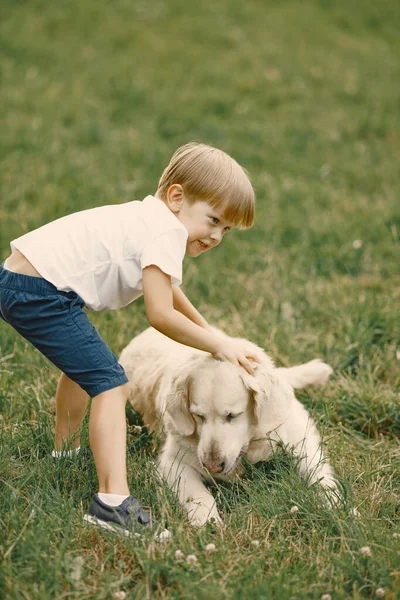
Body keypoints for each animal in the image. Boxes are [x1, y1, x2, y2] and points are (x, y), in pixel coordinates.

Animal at [119, 326, 338, 528]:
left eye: (232, 415)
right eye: (198, 416)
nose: (213, 466)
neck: (250, 442)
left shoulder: (299, 436)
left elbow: (317, 473)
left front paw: (335, 505)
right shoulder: (172, 462)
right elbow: (198, 494)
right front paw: (208, 521)